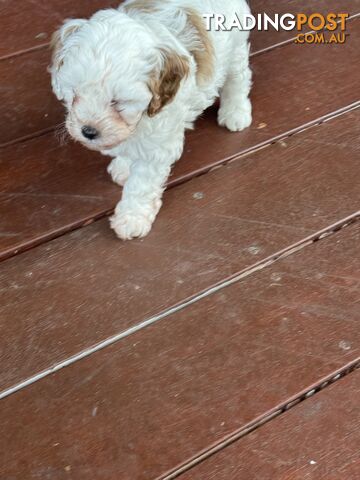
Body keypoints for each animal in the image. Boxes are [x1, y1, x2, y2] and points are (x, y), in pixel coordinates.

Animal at [50, 0, 252, 240]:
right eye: (75, 93)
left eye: (117, 102)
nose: (88, 131)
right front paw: (124, 165)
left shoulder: (158, 146)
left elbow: (141, 184)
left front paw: (132, 218)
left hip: (236, 46)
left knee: (238, 78)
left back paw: (235, 112)